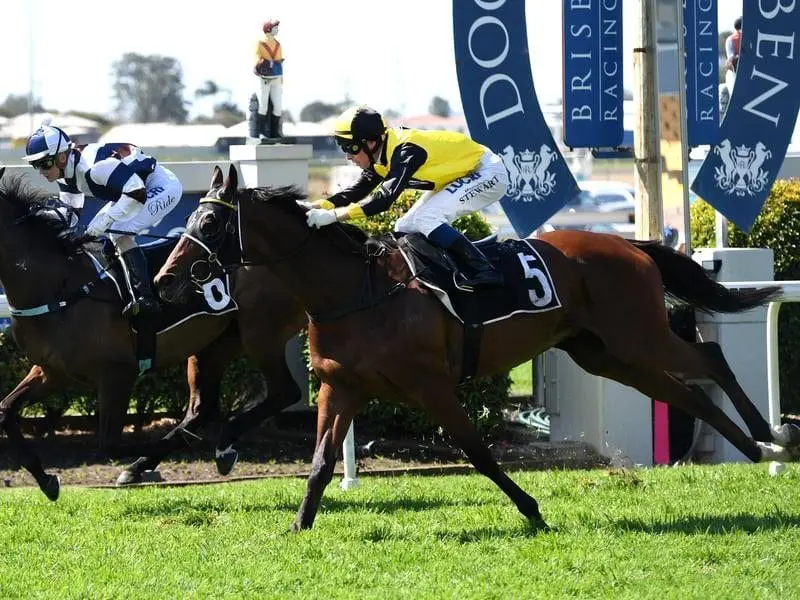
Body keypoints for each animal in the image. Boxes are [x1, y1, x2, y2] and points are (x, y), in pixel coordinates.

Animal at [0, 166, 304, 500]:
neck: (59, 286)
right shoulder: (52, 371)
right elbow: (6, 410)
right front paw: (46, 480)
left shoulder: (118, 374)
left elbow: (110, 444)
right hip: (215, 343)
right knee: (202, 409)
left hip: (260, 333)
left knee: (286, 392)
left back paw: (218, 445)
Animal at [155, 163, 800, 528]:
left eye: (208, 224)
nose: (163, 280)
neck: (355, 290)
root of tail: (631, 244)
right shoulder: (341, 387)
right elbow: (317, 465)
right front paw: (299, 527)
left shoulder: (431, 385)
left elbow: (480, 454)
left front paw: (533, 513)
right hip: (607, 354)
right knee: (686, 393)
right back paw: (754, 447)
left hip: (637, 336)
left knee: (709, 359)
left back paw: (775, 436)